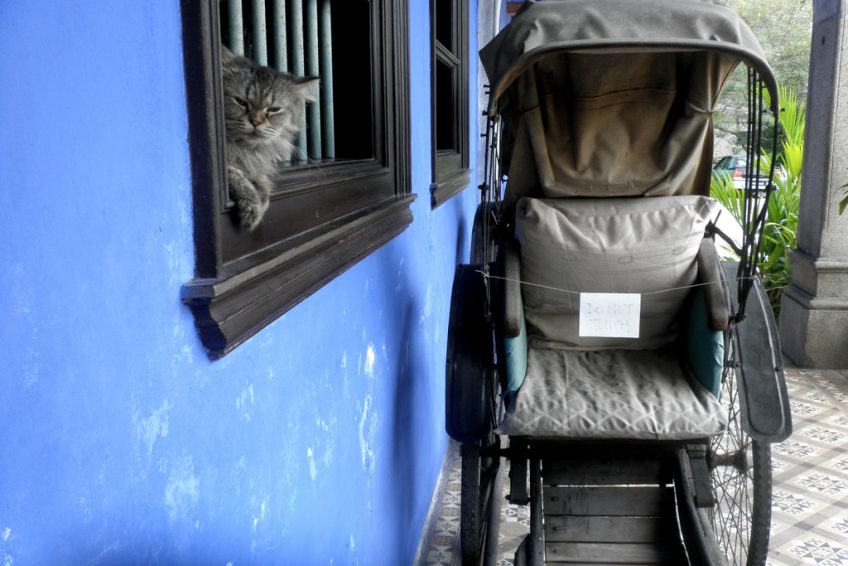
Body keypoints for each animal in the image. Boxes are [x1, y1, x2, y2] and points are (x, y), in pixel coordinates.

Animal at [220, 46, 319, 230]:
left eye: (273, 109)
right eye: (241, 102)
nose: (255, 122)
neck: (244, 149)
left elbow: (262, 180)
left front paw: (262, 197)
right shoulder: (226, 166)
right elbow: (238, 177)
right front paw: (252, 208)